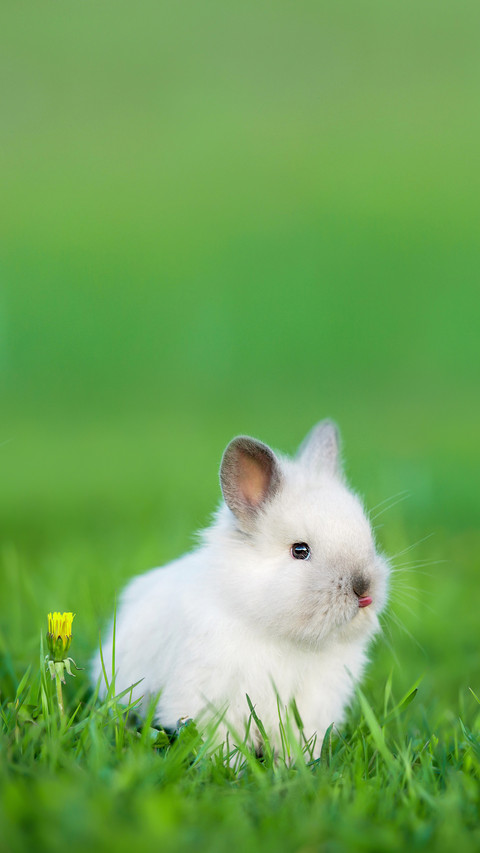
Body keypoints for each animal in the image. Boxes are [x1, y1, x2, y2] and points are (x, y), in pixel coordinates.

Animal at [92, 420, 389, 758]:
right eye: (300, 551)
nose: (363, 588)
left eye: (367, 538)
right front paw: (229, 765)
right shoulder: (214, 701)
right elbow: (224, 744)